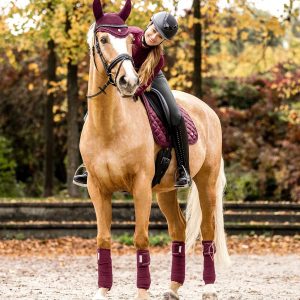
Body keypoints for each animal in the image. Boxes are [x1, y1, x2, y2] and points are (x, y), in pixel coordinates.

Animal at [79, 1, 230, 298]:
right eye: (103, 40)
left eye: (128, 40)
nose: (128, 82)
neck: (108, 126)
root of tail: (207, 110)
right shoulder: (96, 188)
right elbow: (103, 239)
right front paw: (102, 290)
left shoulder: (140, 187)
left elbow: (140, 238)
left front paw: (142, 291)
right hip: (165, 191)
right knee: (178, 230)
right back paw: (173, 288)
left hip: (205, 181)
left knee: (207, 230)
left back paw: (209, 287)